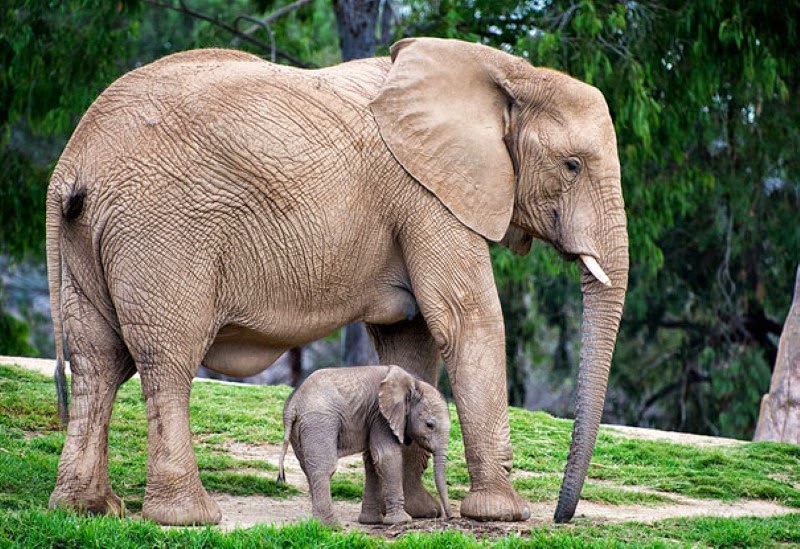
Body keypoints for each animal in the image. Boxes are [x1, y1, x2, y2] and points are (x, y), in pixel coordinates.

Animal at [276, 366, 450, 524]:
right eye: (429, 425)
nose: (449, 516)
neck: (413, 383)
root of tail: (293, 406)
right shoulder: (381, 416)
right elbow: (386, 456)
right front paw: (402, 521)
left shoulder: (372, 417)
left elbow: (372, 460)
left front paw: (371, 522)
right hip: (319, 422)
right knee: (324, 467)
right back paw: (330, 526)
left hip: (299, 429)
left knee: (307, 468)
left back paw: (317, 524)